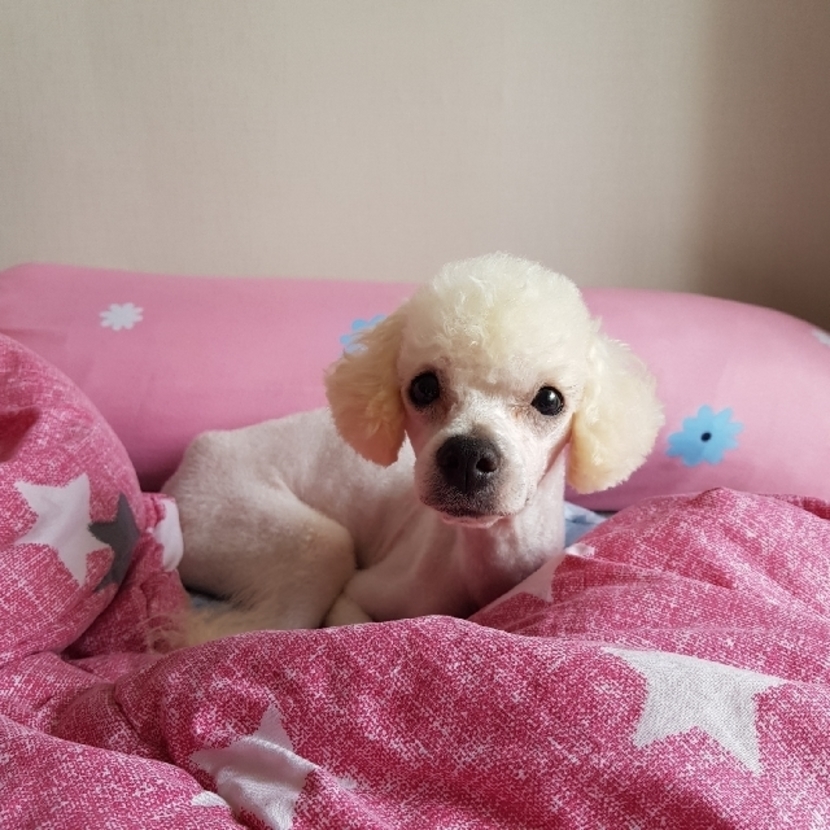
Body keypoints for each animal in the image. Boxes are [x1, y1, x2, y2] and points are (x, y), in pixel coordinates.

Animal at [164, 254, 663, 643]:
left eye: (550, 400)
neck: (483, 558)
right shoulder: (356, 596)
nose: (466, 457)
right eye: (423, 388)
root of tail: (190, 464)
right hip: (299, 541)